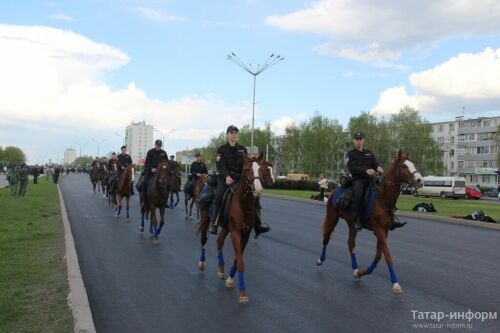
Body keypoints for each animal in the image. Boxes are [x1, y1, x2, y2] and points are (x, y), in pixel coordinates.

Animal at [196, 153, 274, 304]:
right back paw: (201, 262)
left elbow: (238, 259)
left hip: (226, 227)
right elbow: (241, 262)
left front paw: (231, 280)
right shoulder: (236, 233)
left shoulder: (246, 234)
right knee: (203, 240)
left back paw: (221, 269)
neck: (244, 204)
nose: (258, 189)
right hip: (206, 218)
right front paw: (243, 293)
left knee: (219, 242)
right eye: (247, 170)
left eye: (262, 169)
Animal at [316, 150, 422, 294]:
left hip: (352, 225)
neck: (381, 199)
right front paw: (395, 283)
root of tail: (335, 190)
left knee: (351, 244)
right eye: (404, 166)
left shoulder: (384, 231)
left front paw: (363, 272)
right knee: (326, 238)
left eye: (413, 164)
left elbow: (378, 255)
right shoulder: (378, 230)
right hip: (333, 218)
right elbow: (387, 256)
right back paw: (320, 260)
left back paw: (355, 269)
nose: (420, 180)